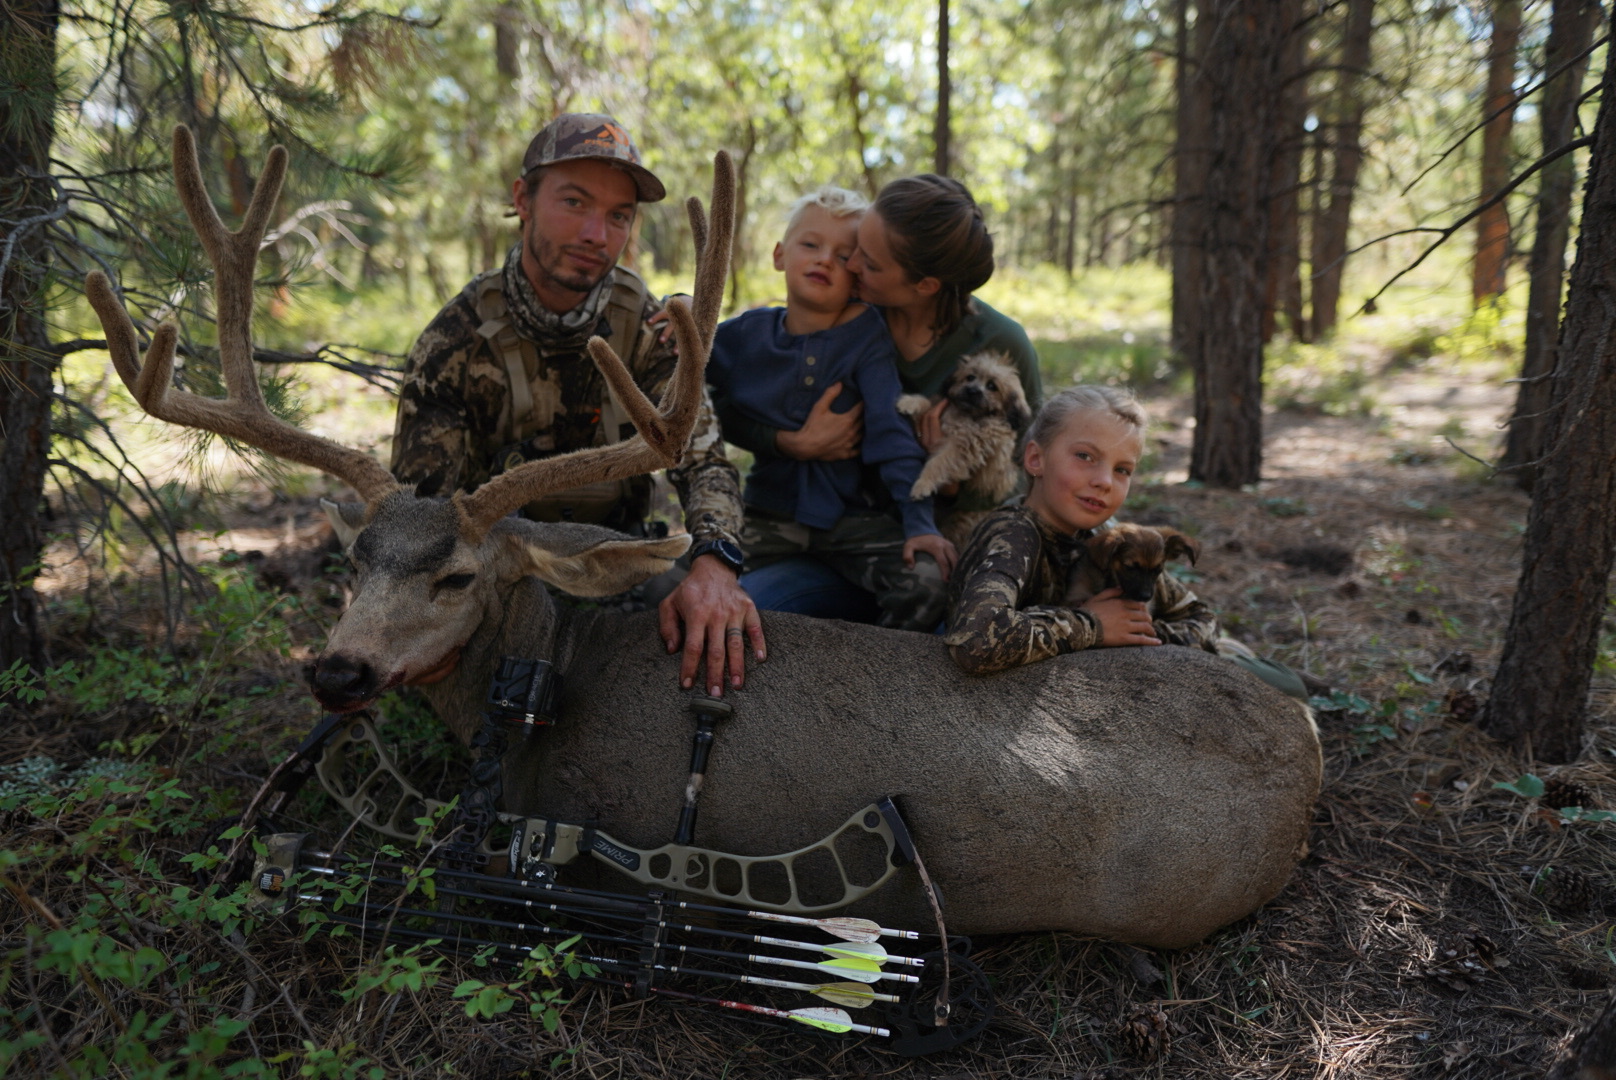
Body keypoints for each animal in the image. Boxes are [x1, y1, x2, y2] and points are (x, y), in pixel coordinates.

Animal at [898, 352, 1034, 549]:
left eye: (992, 386)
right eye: (970, 377)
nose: (972, 391)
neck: (969, 415)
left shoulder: (964, 447)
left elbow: (938, 463)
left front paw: (923, 483)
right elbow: (930, 403)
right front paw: (910, 402)